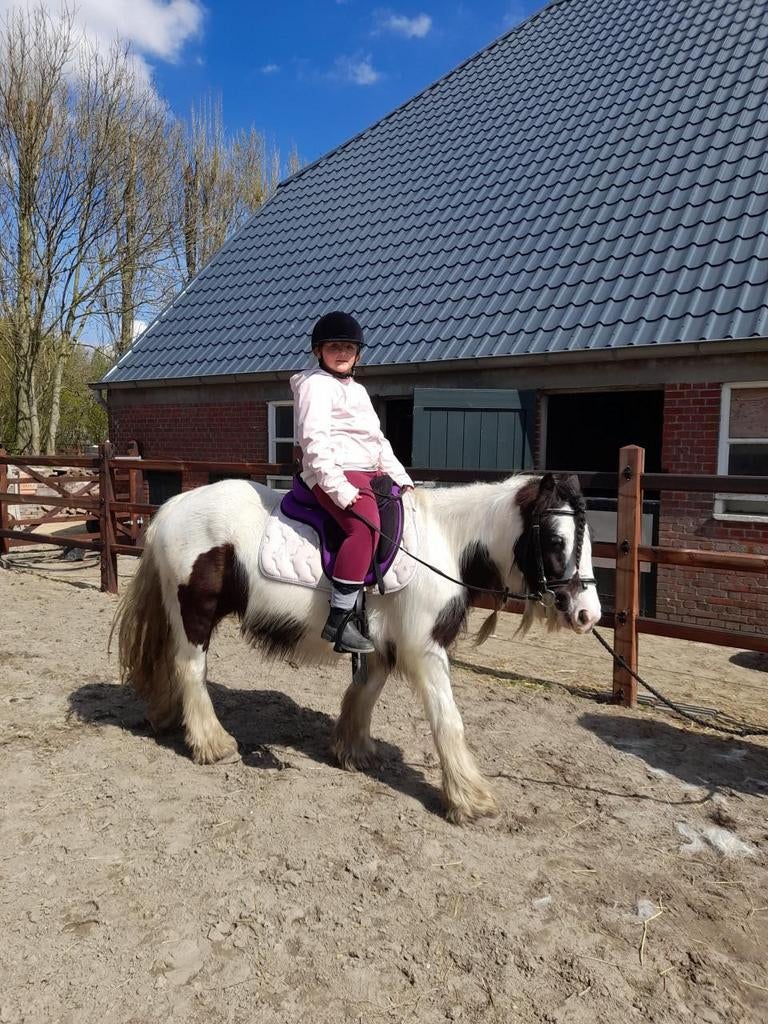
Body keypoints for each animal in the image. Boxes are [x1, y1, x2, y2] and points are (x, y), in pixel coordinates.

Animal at [114, 471, 601, 824]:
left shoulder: (381, 644)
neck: (444, 541)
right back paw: (212, 743)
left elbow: (364, 693)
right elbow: (448, 720)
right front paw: (470, 800)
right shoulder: (425, 651)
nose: (588, 614)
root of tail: (171, 509)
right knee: (190, 669)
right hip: (195, 616)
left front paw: (353, 751)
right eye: (555, 540)